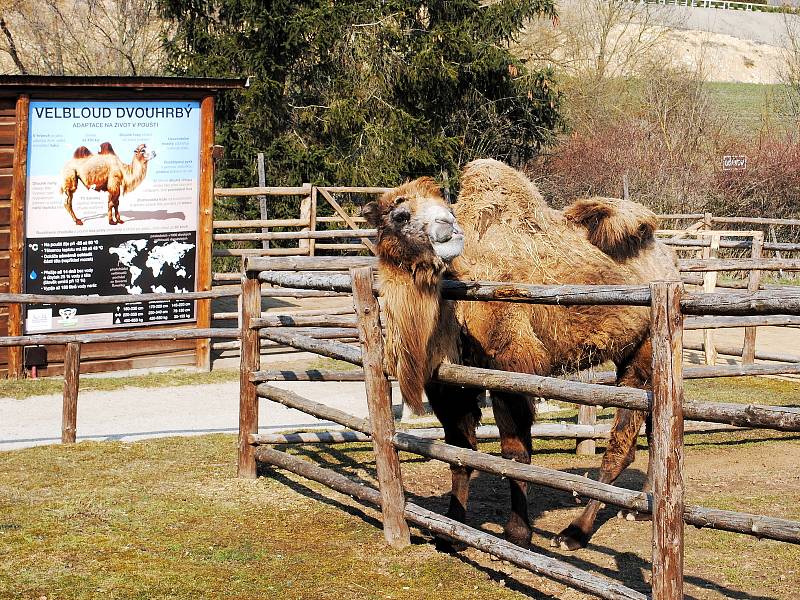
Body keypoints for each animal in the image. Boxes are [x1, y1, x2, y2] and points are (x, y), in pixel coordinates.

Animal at [362, 157, 680, 552]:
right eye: (400, 214)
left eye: (445, 206)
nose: (448, 226)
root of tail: (669, 264)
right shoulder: (448, 382)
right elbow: (459, 454)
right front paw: (451, 530)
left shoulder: (511, 367)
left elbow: (515, 455)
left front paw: (517, 534)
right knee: (654, 433)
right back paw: (638, 509)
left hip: (642, 352)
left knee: (622, 444)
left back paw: (573, 533)